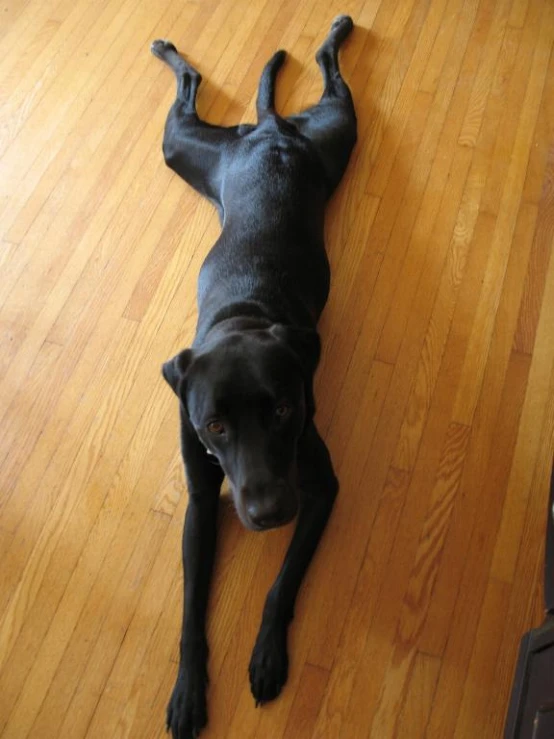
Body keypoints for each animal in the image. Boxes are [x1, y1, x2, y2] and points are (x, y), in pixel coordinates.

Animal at [151, 17, 356, 739]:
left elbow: (283, 581)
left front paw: (267, 655)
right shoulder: (198, 501)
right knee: (190, 92)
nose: (266, 514)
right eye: (213, 424)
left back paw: (336, 30)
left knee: (328, 76)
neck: (243, 318)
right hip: (185, 151)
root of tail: (269, 131)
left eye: (284, 410)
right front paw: (188, 690)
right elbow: (190, 609)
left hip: (335, 132)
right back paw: (171, 53)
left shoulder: (320, 486)